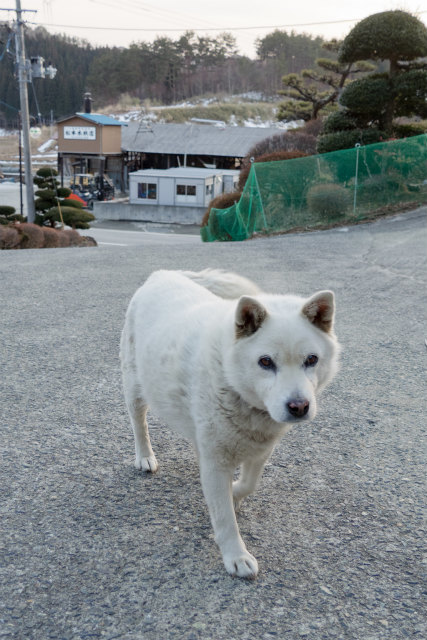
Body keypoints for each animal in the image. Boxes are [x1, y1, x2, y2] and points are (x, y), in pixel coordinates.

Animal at [121, 270, 342, 580]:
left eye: (311, 359)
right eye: (265, 362)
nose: (299, 407)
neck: (230, 377)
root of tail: (163, 273)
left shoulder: (261, 450)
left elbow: (249, 484)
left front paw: (235, 492)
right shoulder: (217, 461)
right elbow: (225, 518)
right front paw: (235, 556)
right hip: (134, 387)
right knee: (138, 423)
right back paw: (144, 457)